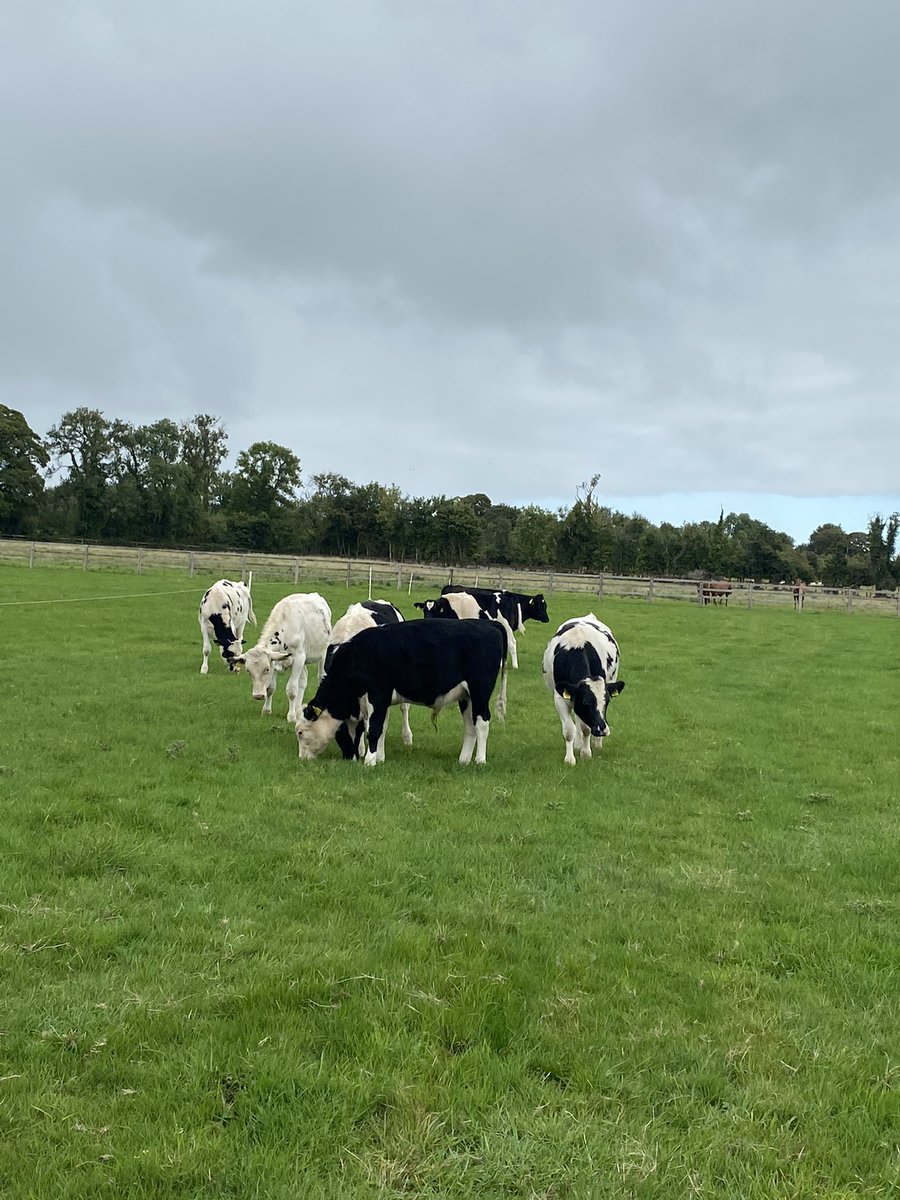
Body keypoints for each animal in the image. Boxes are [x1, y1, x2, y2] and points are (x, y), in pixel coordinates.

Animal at [231, 592, 332, 721]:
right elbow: (270, 688)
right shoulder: (275, 660)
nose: (258, 695)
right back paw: (298, 708)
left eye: (266, 669)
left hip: (322, 654)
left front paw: (291, 716)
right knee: (303, 680)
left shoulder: (298, 658)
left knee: (321, 677)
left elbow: (291, 690)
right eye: (248, 671)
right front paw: (266, 710)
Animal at [295, 618, 508, 767]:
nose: (302, 758)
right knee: (470, 726)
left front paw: (370, 761)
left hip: (480, 691)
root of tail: (490, 624)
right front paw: (380, 758)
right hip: (466, 697)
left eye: (300, 732)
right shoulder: (375, 703)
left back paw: (480, 760)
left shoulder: (378, 694)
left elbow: (374, 729)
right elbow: (380, 727)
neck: (355, 657)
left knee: (482, 723)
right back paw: (463, 760)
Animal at [326, 600, 412, 758]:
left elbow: (380, 724)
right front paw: (362, 750)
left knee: (404, 708)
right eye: (341, 735)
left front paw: (378, 755)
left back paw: (407, 738)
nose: (350, 757)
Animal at [542, 614, 625, 766]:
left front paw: (586, 753)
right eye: (586, 702)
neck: (577, 644)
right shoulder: (560, 698)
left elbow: (586, 728)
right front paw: (569, 759)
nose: (602, 729)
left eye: (607, 702)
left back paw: (596, 743)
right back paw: (578, 744)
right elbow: (569, 730)